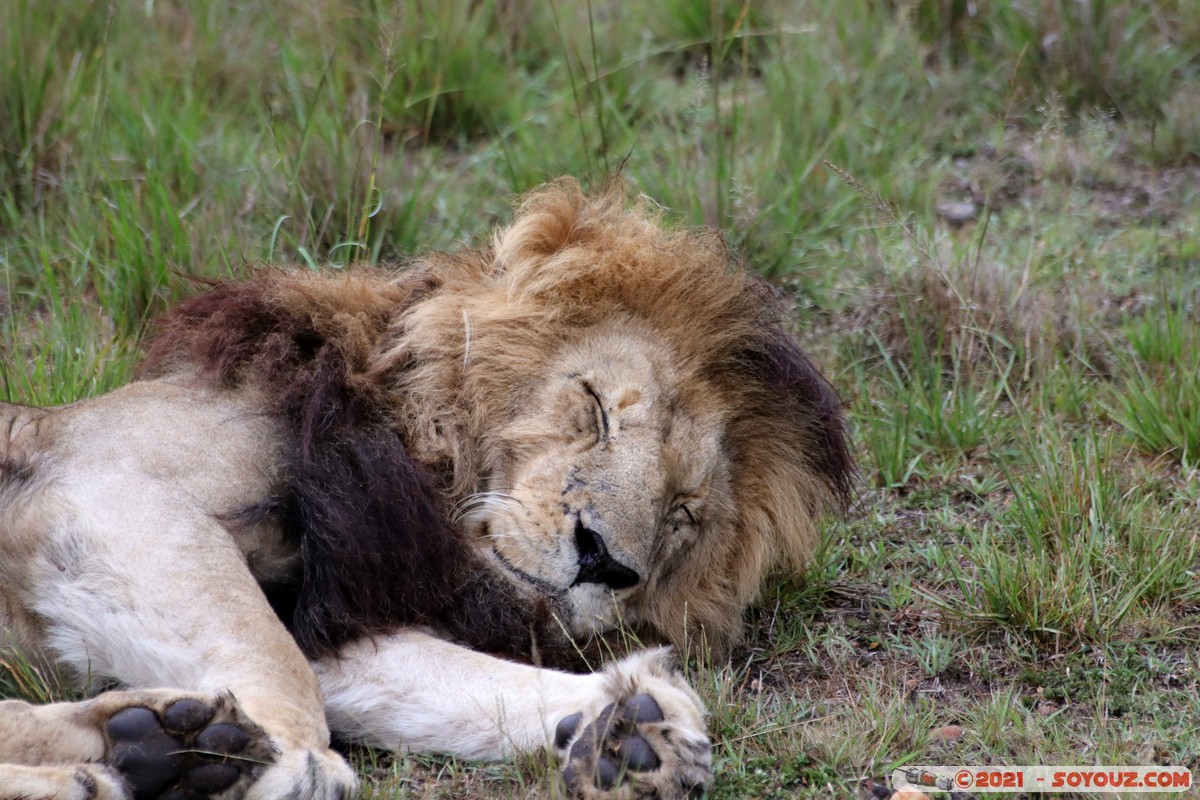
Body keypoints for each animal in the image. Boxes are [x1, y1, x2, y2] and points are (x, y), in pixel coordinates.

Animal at [0, 181, 854, 800]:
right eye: (595, 408)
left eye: (682, 514)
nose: (602, 559)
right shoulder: (105, 484)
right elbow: (279, 665)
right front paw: (279, 763)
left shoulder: (329, 612)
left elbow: (438, 681)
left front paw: (627, 729)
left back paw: (139, 744)